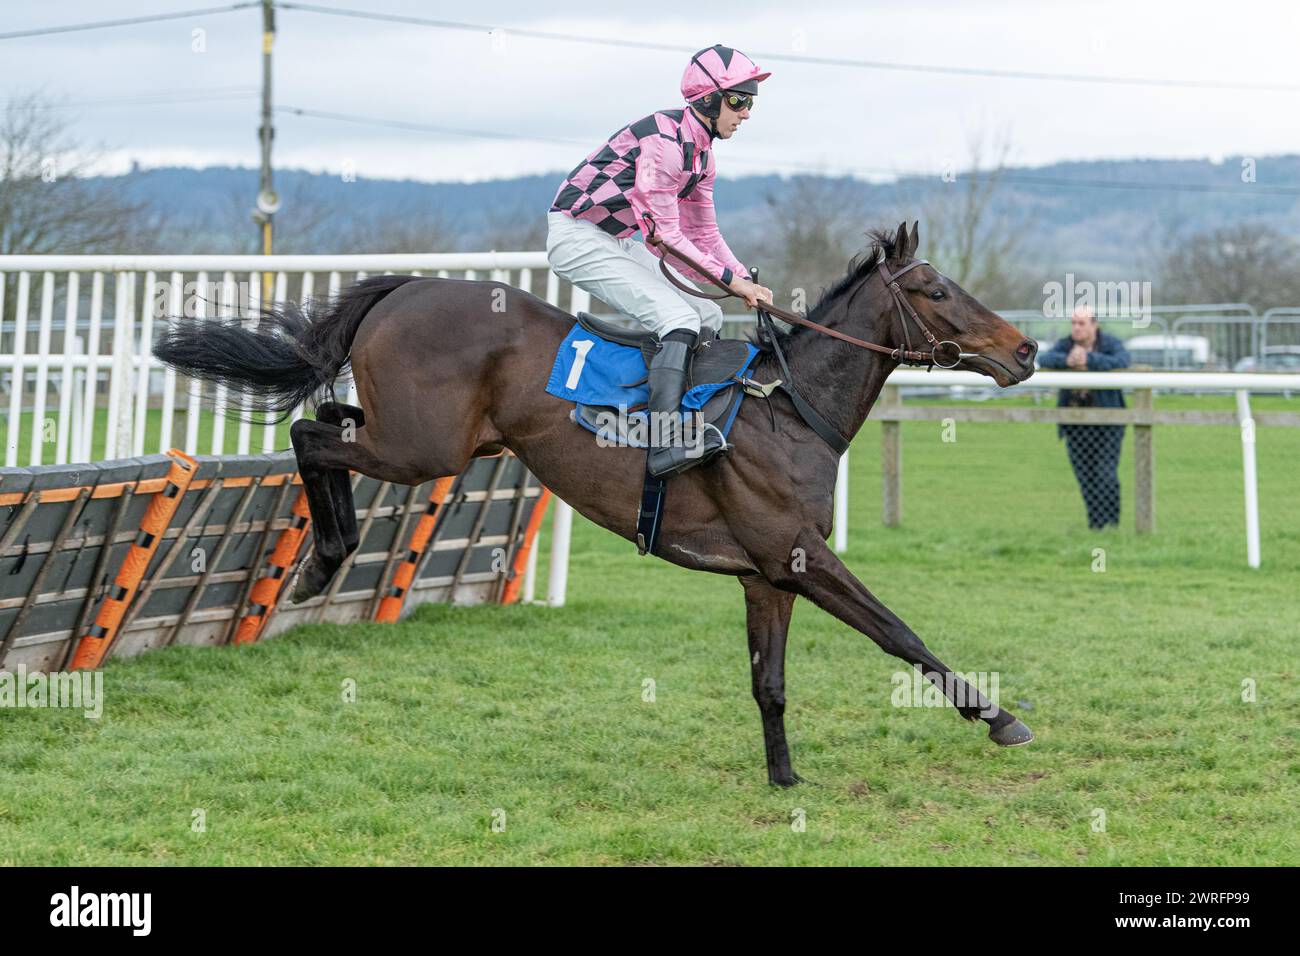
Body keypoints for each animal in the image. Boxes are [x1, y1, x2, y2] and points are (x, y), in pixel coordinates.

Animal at [152, 222, 1040, 785]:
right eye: (934, 289)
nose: (1026, 348)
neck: (786, 406)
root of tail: (406, 286)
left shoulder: (766, 575)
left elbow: (771, 683)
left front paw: (785, 777)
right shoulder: (799, 554)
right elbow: (900, 631)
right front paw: (999, 717)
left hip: (435, 438)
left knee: (328, 417)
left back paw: (315, 564)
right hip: (421, 449)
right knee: (309, 433)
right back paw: (322, 562)